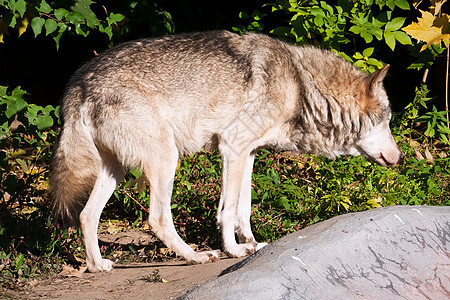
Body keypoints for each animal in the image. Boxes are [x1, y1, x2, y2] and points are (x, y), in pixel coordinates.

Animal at [51, 29, 402, 272]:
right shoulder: (232, 146)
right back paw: (196, 256)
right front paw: (233, 251)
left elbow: (243, 209)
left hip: (116, 170)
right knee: (158, 218)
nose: (399, 158)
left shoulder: (248, 153)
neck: (302, 86)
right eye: (387, 121)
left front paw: (252, 244)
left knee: (86, 215)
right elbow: (228, 209)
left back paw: (97, 266)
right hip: (166, 160)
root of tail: (77, 83)